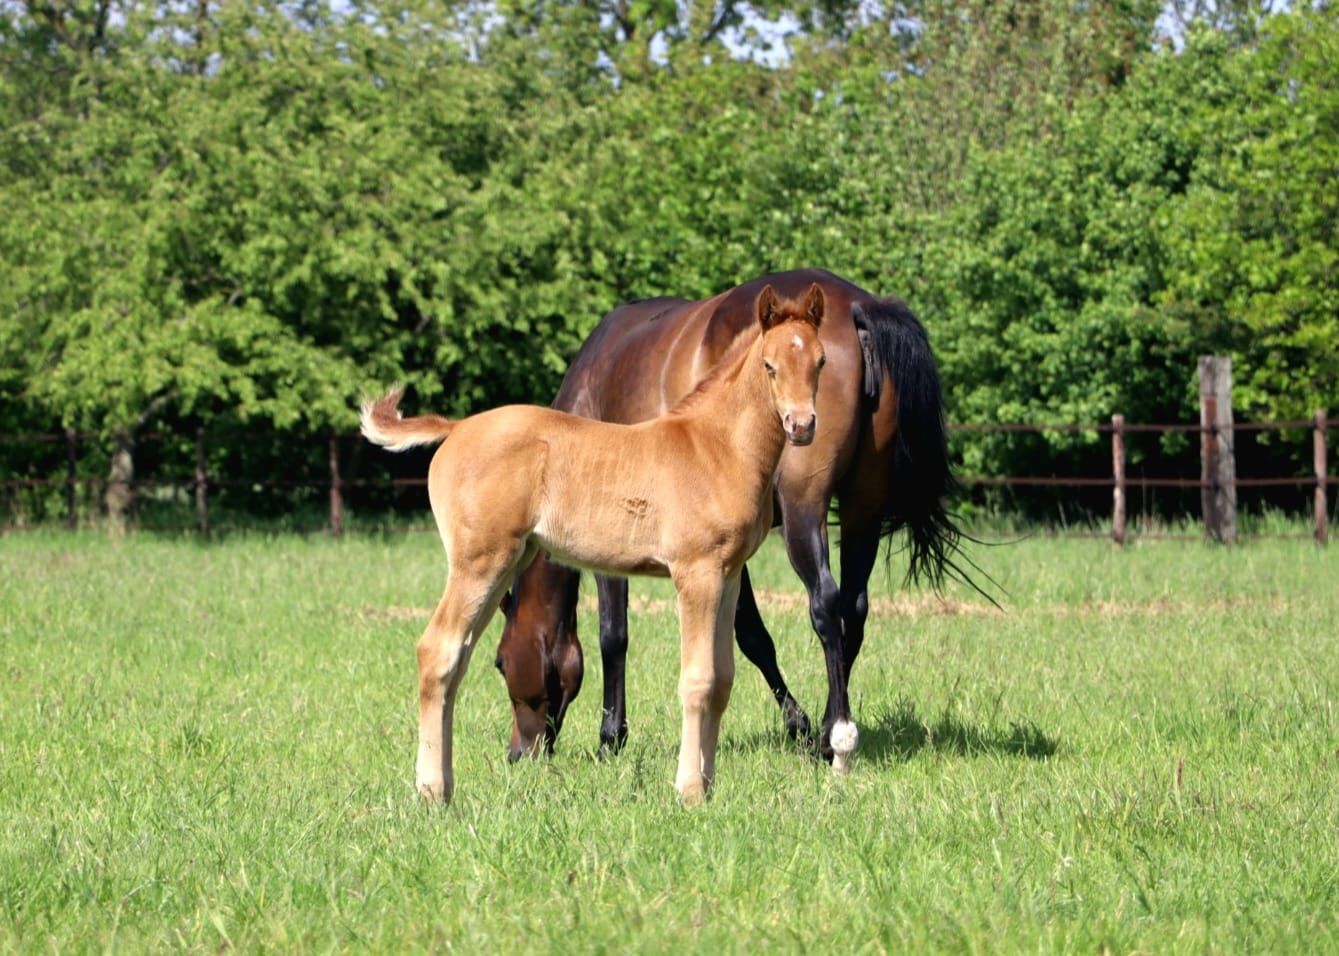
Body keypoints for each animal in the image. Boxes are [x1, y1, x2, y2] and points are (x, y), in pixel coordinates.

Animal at [361, 284, 830, 805]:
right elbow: (698, 679)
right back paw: (431, 792)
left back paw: (444, 786)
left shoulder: (727, 574)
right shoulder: (696, 572)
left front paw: (707, 786)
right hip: (479, 561)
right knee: (437, 650)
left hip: (506, 561)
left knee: (457, 656)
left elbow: (724, 677)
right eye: (769, 365)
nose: (802, 425)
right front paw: (689, 790)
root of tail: (457, 427)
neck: (717, 446)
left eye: (821, 362)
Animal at [494, 269, 966, 773]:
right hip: (864, 507)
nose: (518, 754)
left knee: (825, 603)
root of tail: (858, 305)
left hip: (804, 509)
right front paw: (798, 725)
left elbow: (615, 635)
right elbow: (751, 635)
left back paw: (834, 738)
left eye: (500, 662)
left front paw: (611, 739)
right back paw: (827, 727)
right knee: (853, 610)